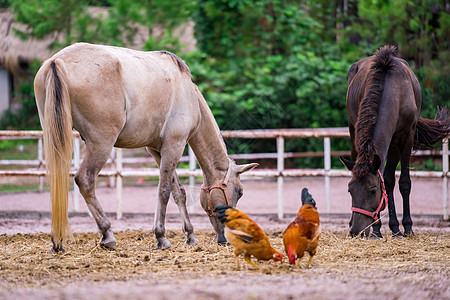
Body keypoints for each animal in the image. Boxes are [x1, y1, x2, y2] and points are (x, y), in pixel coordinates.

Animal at [34, 43, 256, 252]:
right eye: (239, 191)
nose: (225, 239)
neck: (188, 93)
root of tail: (57, 61)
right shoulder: (174, 145)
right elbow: (164, 191)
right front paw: (161, 237)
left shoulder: (157, 150)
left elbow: (179, 192)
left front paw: (190, 236)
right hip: (101, 144)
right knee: (85, 180)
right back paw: (107, 235)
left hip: (57, 139)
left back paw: (57, 241)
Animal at [342, 45, 450, 238]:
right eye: (350, 189)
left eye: (373, 190)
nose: (357, 231)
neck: (394, 91)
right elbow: (387, 181)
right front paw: (378, 229)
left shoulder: (406, 136)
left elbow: (403, 182)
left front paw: (406, 227)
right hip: (357, 132)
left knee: (390, 179)